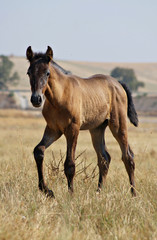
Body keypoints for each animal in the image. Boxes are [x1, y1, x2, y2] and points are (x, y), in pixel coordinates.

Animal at [26, 45, 138, 197]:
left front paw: (71, 194)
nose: (36, 99)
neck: (59, 97)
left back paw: (134, 193)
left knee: (128, 157)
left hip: (118, 125)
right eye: (28, 72)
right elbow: (38, 151)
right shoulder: (53, 129)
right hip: (97, 129)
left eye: (47, 73)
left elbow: (69, 164)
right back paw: (98, 192)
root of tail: (118, 84)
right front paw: (47, 190)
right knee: (104, 158)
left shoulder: (73, 129)